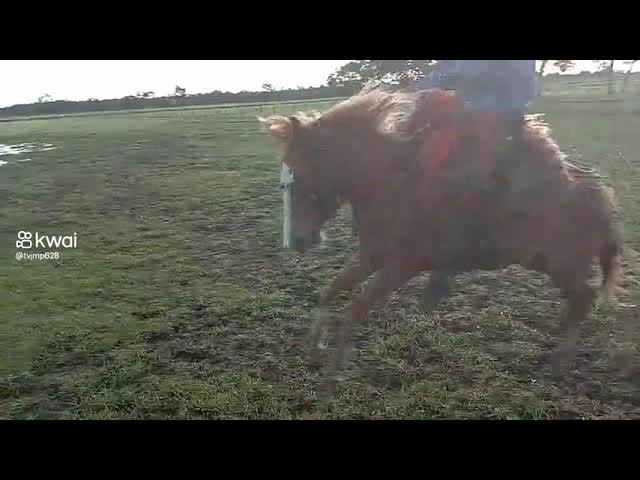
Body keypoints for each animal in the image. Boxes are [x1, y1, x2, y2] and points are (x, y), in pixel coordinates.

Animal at [258, 86, 624, 394]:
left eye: (302, 177)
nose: (297, 241)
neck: (390, 182)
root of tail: (597, 195)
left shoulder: (403, 264)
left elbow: (356, 308)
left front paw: (333, 373)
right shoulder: (372, 255)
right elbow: (331, 291)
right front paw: (315, 348)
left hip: (563, 265)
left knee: (584, 298)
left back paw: (560, 360)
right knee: (579, 300)